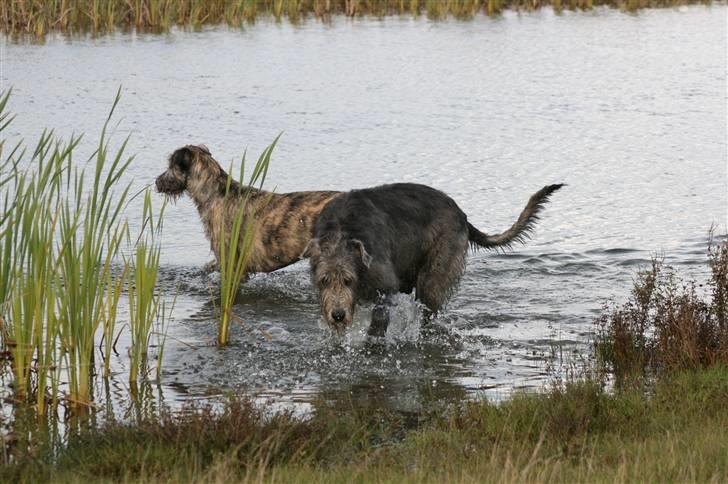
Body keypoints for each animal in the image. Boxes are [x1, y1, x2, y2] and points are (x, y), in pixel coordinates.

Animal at [302, 182, 564, 336]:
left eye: (348, 280)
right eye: (324, 280)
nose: (338, 315)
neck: (340, 232)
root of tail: (462, 214)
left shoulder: (383, 281)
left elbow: (379, 316)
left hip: (438, 269)